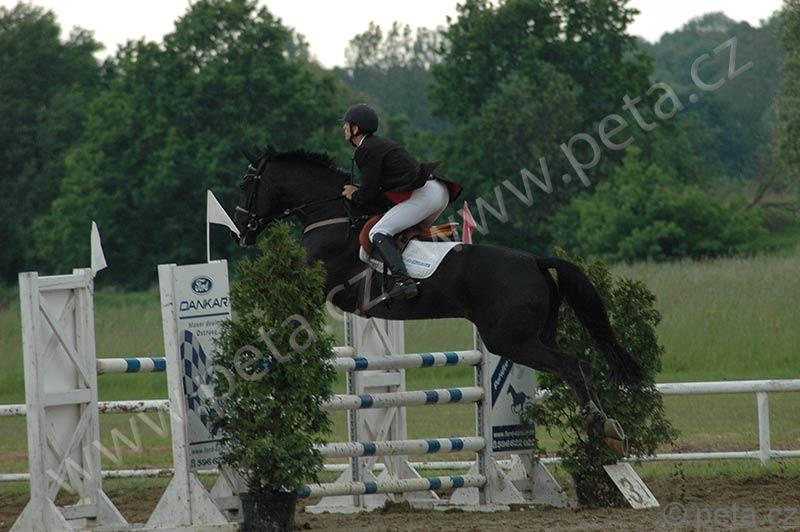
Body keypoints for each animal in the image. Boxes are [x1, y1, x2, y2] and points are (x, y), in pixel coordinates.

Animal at [232, 147, 644, 455]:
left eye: (246, 184)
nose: (241, 233)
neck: (331, 216)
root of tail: (535, 261)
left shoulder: (321, 284)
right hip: (536, 335)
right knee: (575, 367)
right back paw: (608, 428)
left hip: (511, 340)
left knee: (575, 365)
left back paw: (602, 425)